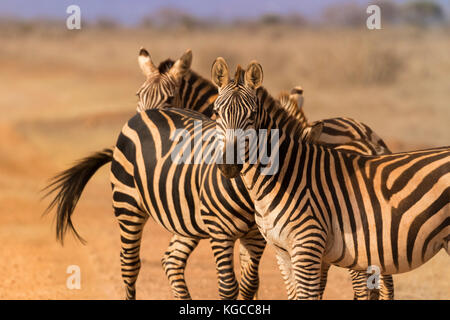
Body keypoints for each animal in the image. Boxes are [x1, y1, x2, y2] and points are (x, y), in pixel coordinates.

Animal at [209, 57, 448, 300]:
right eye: (217, 113)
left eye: (252, 115)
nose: (229, 165)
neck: (286, 175)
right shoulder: (282, 251)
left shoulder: (308, 246)